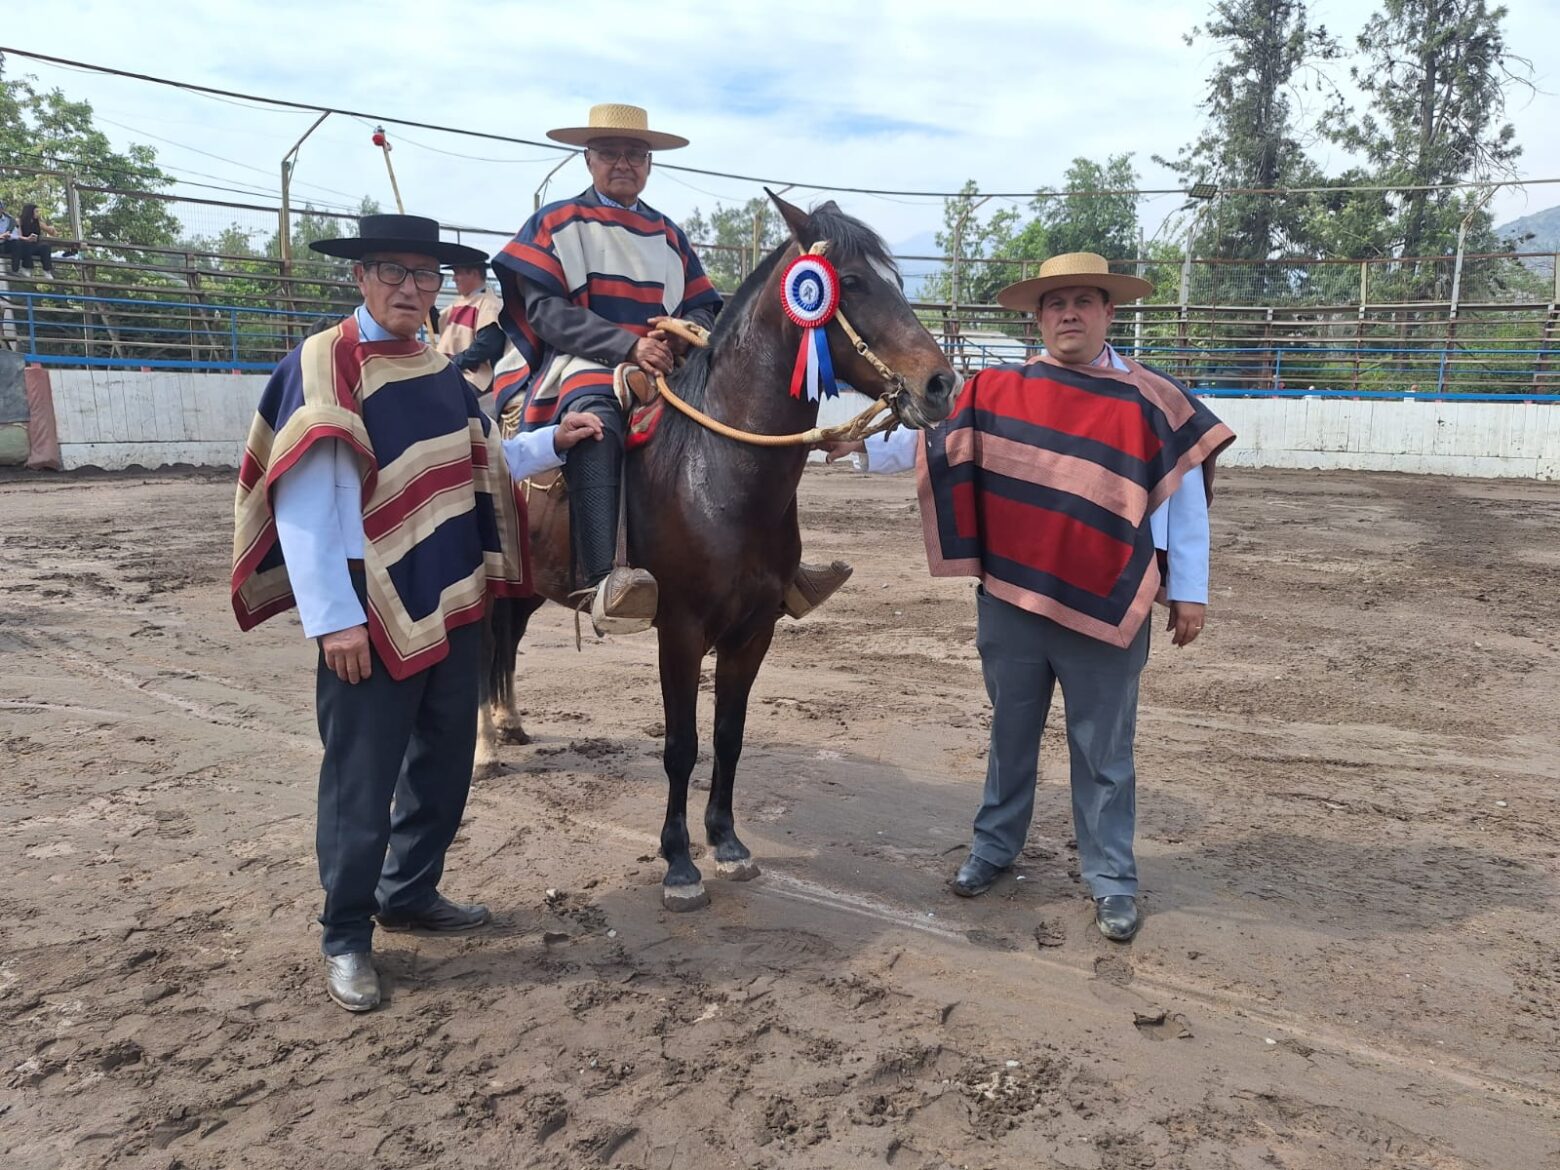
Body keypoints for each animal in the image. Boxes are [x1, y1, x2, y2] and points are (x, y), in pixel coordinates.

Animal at [486, 192, 954, 911]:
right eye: (851, 282)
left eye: (898, 282)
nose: (939, 385)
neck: (716, 473)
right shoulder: (678, 631)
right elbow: (683, 744)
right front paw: (679, 863)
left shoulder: (754, 631)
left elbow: (729, 737)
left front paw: (727, 843)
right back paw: (484, 749)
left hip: (530, 582)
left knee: (506, 641)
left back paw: (508, 723)